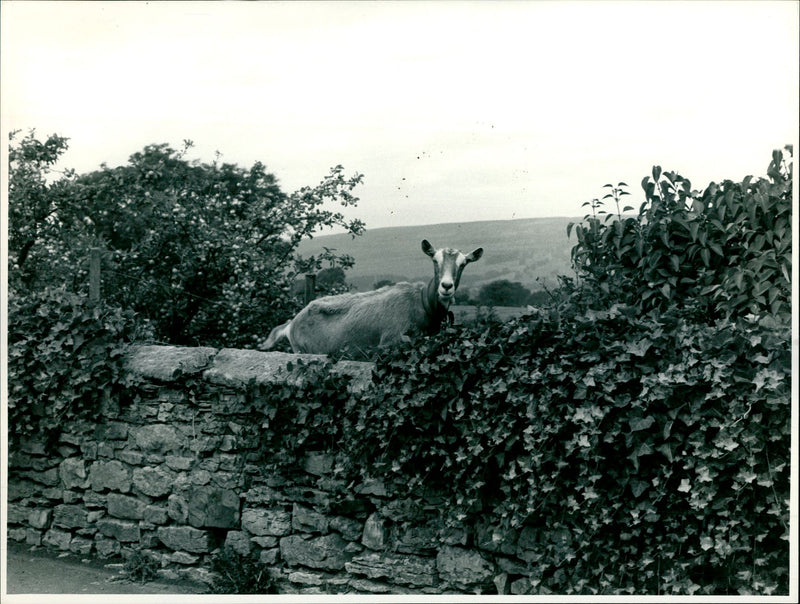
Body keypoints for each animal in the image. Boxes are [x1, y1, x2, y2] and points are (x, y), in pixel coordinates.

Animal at [264, 239, 483, 355]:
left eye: (463, 264)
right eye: (435, 260)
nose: (446, 286)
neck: (421, 303)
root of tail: (291, 324)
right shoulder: (389, 343)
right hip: (303, 350)